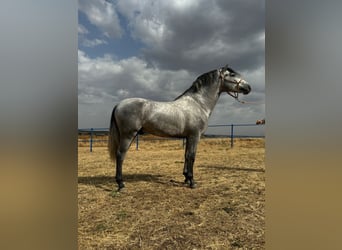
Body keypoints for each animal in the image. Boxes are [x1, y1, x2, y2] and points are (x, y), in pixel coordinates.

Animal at [108, 65, 250, 190]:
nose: (248, 87)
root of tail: (118, 104)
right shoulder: (195, 136)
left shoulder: (188, 137)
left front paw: (186, 178)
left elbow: (186, 155)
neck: (198, 103)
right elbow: (192, 156)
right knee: (120, 155)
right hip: (128, 135)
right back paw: (120, 184)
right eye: (232, 74)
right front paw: (192, 182)